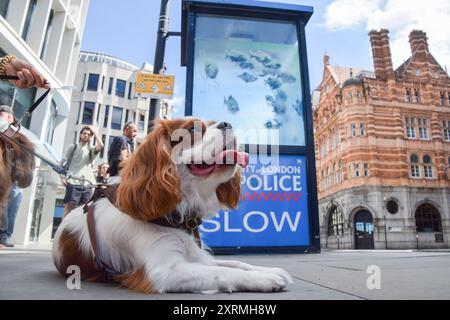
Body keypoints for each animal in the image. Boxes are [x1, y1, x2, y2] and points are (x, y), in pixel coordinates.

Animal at [52, 119, 292, 294]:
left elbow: (234, 264)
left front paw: (268, 269)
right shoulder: (162, 273)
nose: (227, 123)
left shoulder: (197, 256)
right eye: (193, 128)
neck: (175, 214)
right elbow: (222, 273)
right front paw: (265, 277)